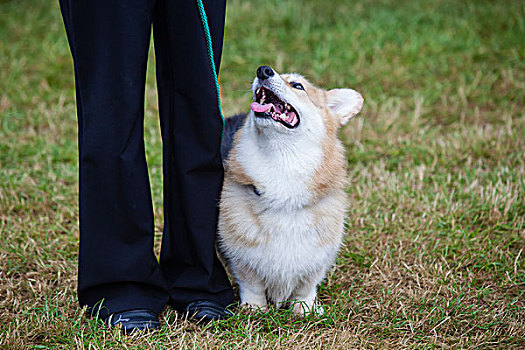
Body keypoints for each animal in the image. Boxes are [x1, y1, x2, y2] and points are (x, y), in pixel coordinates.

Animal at [217, 66, 360, 318]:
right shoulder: (241, 257)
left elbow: (307, 286)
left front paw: (305, 309)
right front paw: (254, 309)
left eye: (298, 85)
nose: (263, 70)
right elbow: (251, 283)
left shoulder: (317, 259)